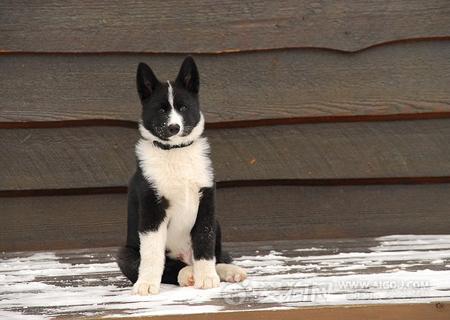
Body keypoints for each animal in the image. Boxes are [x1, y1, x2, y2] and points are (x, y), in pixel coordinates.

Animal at [116, 56, 246, 294]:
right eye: (161, 110)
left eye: (183, 107)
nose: (173, 128)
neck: (176, 152)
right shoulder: (152, 208)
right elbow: (152, 253)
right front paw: (146, 284)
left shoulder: (206, 204)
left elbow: (204, 243)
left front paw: (207, 278)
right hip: (125, 253)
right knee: (170, 268)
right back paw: (186, 274)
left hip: (217, 222)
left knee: (215, 257)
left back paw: (226, 271)